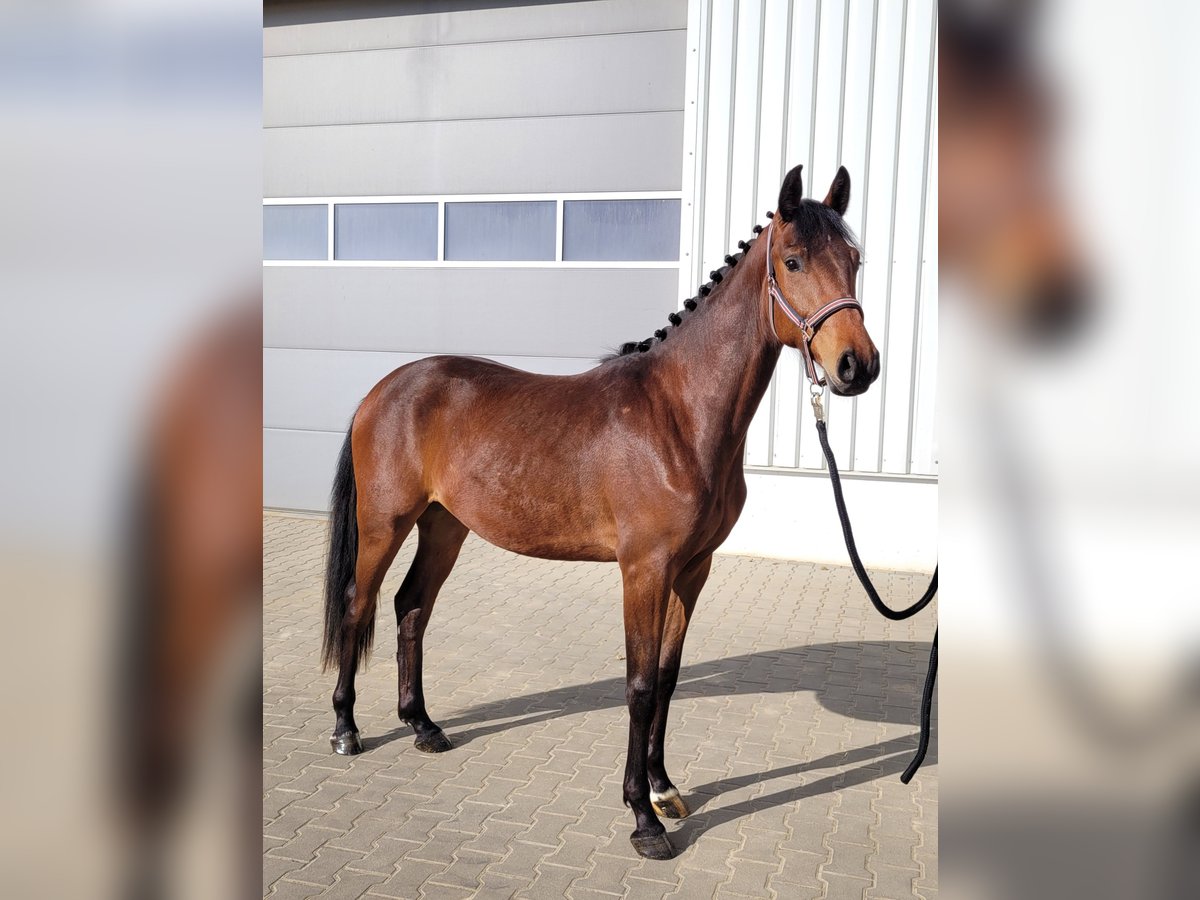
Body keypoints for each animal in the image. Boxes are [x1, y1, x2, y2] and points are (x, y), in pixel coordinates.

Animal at [319, 164, 883, 859]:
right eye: (795, 260)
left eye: (854, 260)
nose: (858, 365)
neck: (679, 414)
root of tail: (384, 388)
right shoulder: (643, 569)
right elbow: (638, 685)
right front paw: (643, 818)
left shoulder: (692, 570)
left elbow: (667, 677)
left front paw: (665, 788)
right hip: (385, 525)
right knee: (357, 604)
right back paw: (346, 729)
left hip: (445, 527)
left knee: (411, 608)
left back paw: (422, 725)